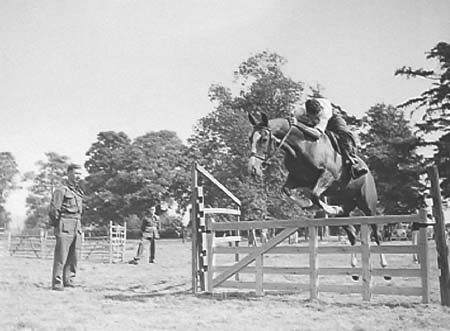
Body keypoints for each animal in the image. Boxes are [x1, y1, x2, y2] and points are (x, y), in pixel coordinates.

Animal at [248, 113, 388, 276]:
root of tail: (368, 170)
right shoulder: (296, 178)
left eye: (263, 139)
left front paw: (327, 208)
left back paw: (384, 265)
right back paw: (353, 267)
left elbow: (315, 195)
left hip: (368, 206)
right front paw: (307, 205)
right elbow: (287, 190)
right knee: (352, 234)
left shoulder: (327, 175)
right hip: (345, 211)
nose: (253, 169)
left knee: (376, 233)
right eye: (250, 139)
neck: (301, 146)